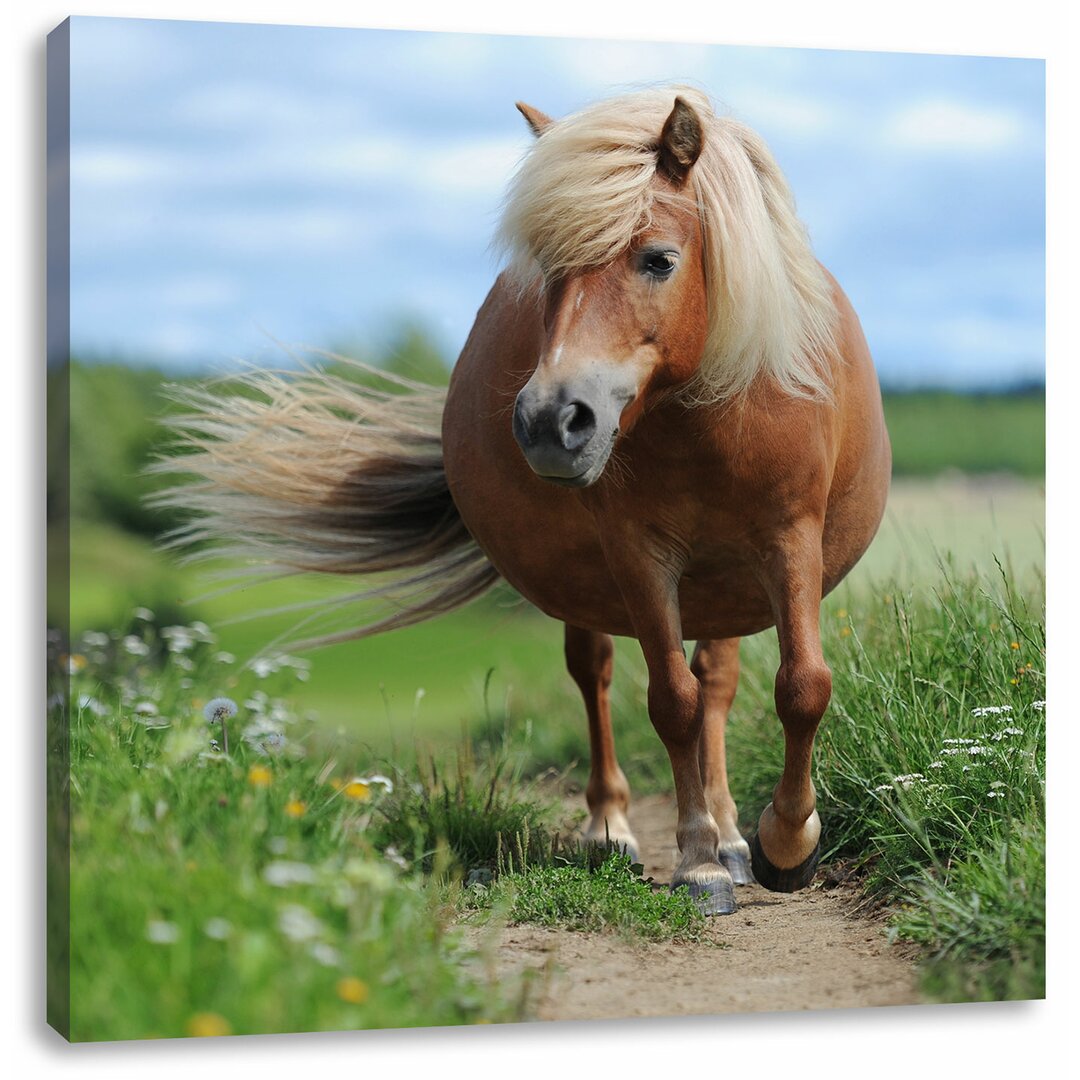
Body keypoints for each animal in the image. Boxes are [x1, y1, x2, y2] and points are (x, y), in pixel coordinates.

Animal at [168, 86, 889, 911]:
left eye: (659, 259)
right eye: (548, 269)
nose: (551, 421)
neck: (708, 417)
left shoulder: (788, 539)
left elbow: (801, 687)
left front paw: (783, 844)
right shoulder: (639, 557)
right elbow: (670, 701)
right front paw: (699, 862)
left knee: (719, 683)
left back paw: (736, 836)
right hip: (596, 585)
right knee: (598, 673)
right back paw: (614, 831)